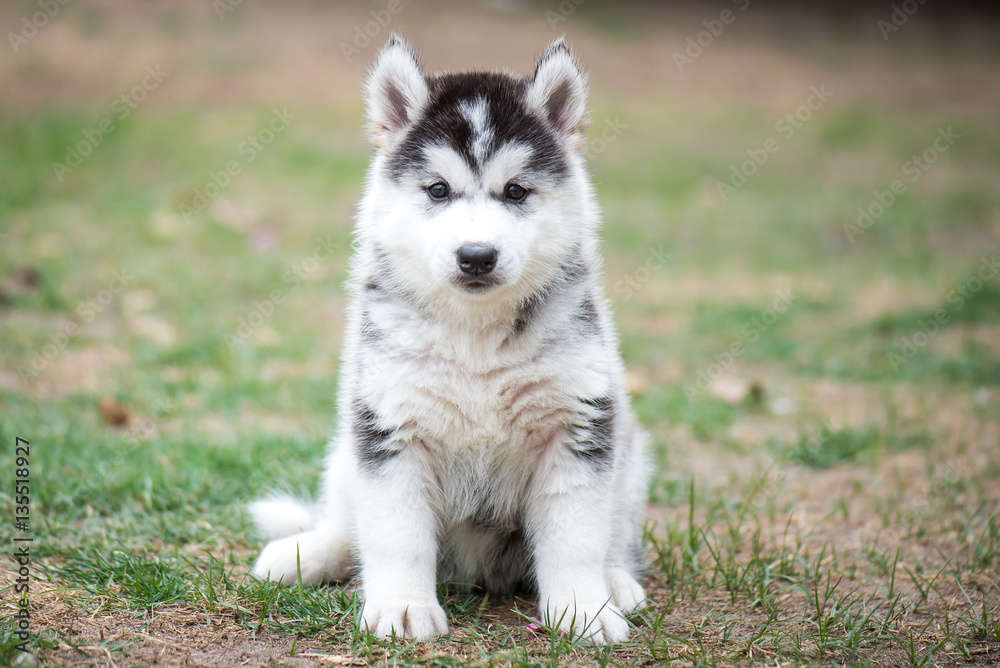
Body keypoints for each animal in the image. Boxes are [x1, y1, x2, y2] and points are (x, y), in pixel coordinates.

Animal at [252, 35, 648, 640]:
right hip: (346, 453)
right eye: (438, 190)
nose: (477, 255)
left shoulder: (578, 424)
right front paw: (401, 607)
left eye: (516, 191)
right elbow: (396, 537)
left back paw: (617, 581)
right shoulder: (390, 428)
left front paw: (584, 608)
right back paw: (305, 553)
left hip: (627, 452)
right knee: (346, 525)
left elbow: (574, 536)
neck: (476, 337)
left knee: (614, 535)